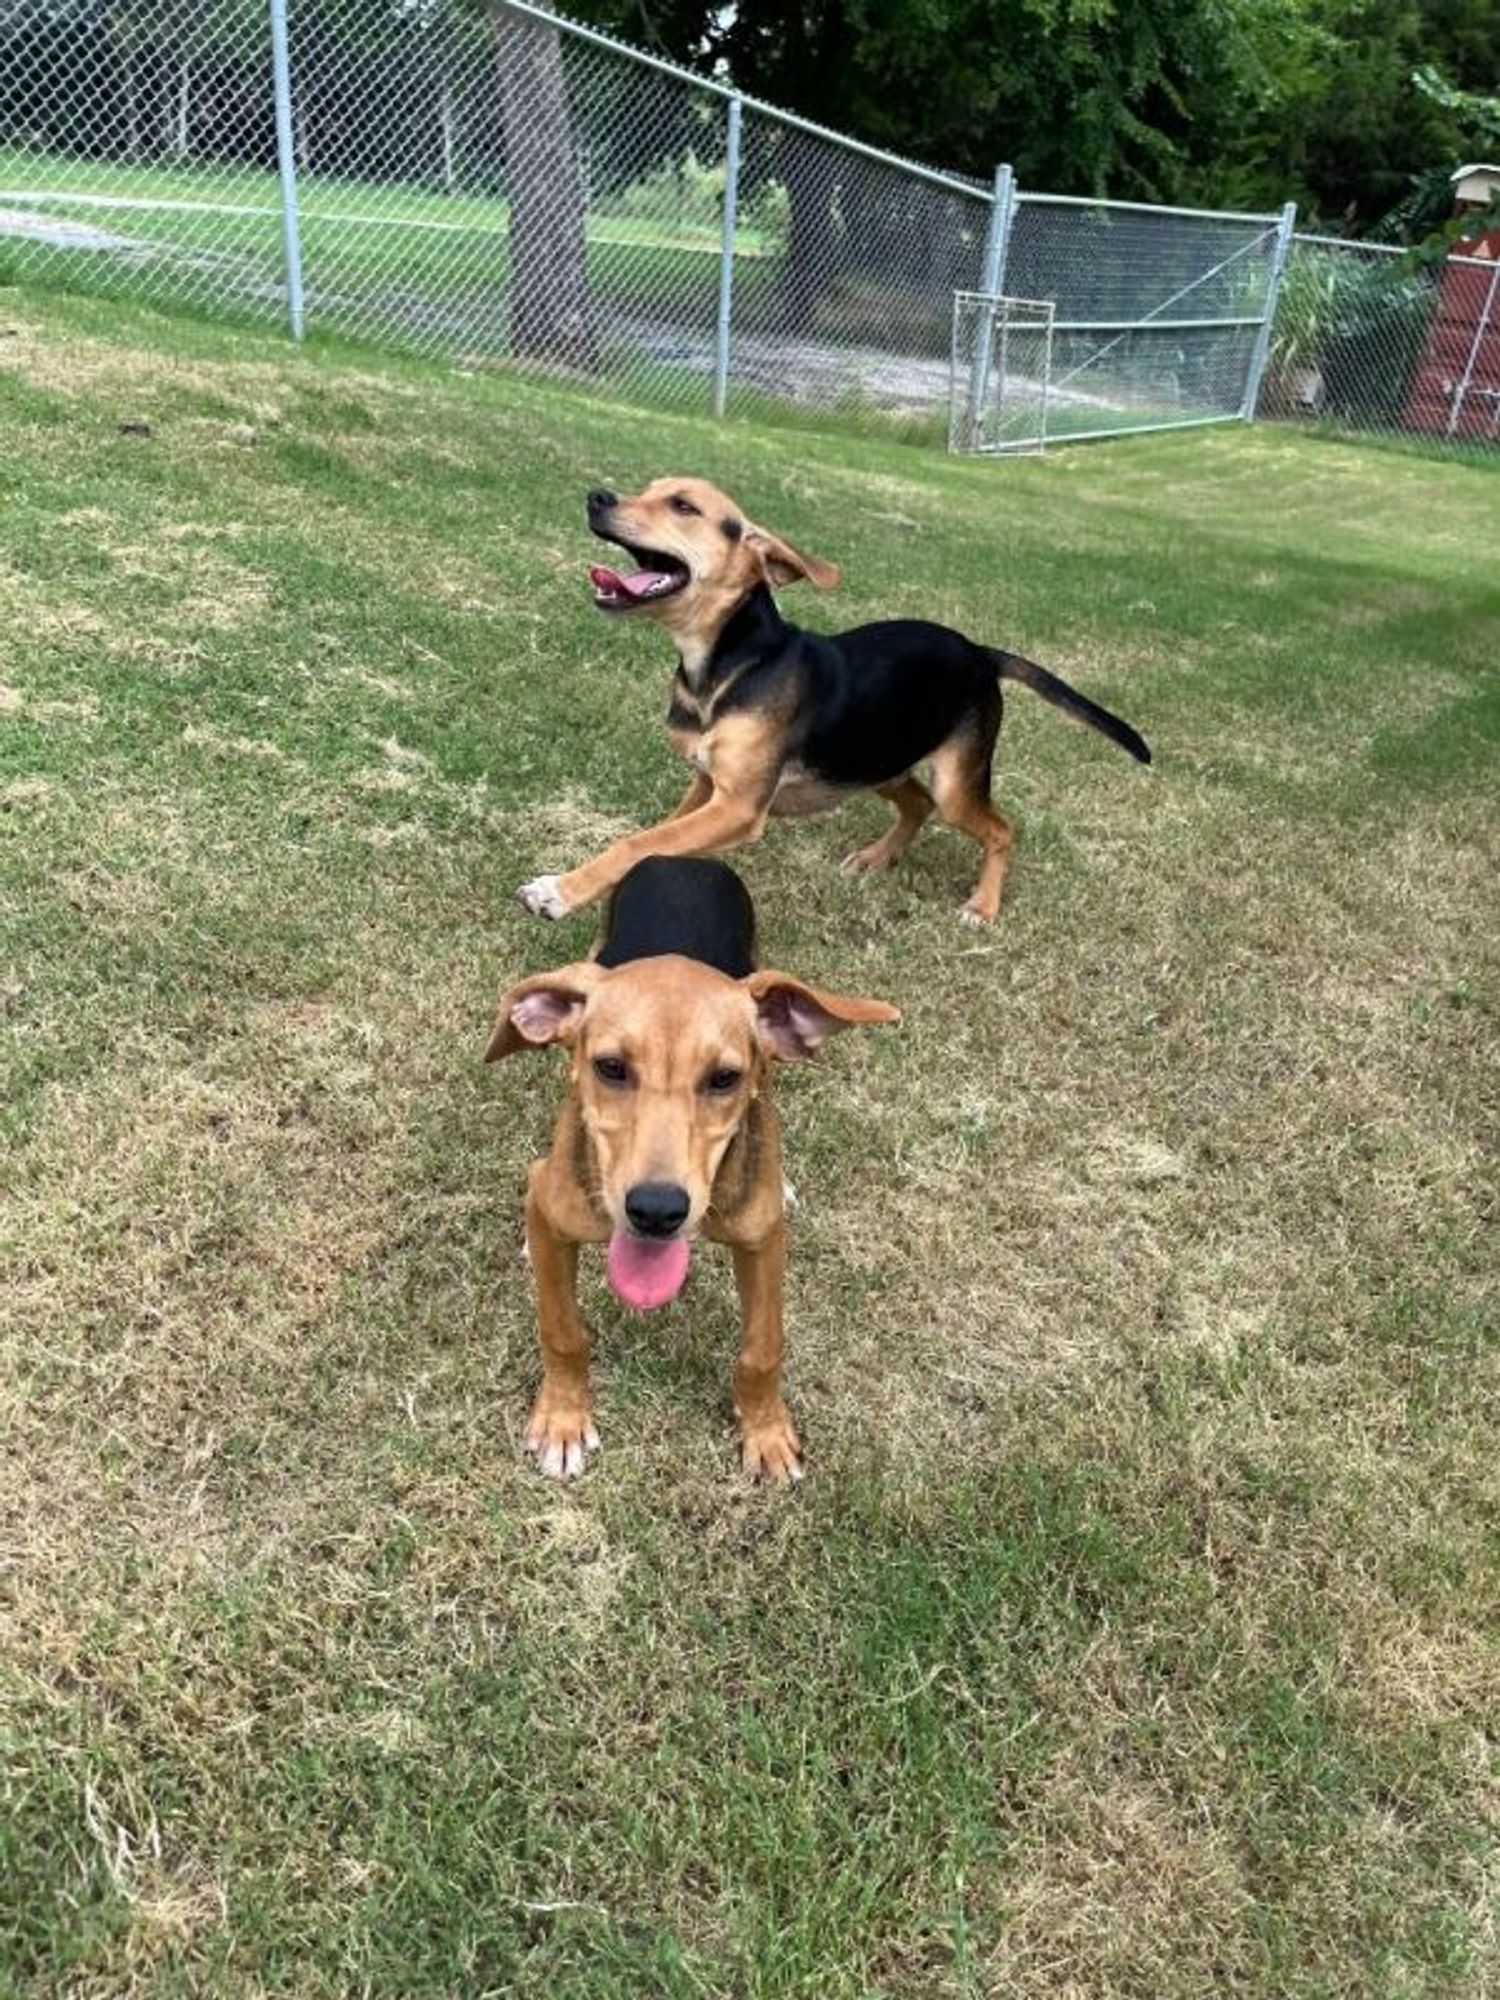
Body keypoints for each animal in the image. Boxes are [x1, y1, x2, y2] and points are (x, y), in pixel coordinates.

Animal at [490, 852, 892, 1480]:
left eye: (724, 1079)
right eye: (610, 1068)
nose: (656, 1211)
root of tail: (682, 857)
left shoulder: (762, 1239)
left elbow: (762, 1348)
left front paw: (765, 1432)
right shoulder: (549, 1195)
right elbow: (562, 1329)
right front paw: (562, 1420)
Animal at [516, 476, 1152, 928]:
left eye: (683, 507)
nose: (597, 497)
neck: (727, 663)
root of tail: (979, 651)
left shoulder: (737, 806)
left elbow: (638, 841)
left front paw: (560, 891)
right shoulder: (706, 784)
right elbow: (656, 839)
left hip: (949, 778)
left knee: (997, 828)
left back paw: (983, 904)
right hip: (871, 758)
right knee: (917, 803)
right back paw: (876, 858)